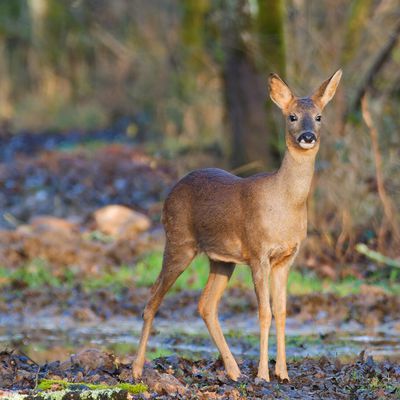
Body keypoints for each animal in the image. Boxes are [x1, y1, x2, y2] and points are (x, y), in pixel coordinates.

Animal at [133, 69, 342, 382]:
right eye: (292, 116)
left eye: (319, 116)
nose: (308, 137)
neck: (284, 203)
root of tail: (169, 194)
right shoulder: (258, 252)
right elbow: (264, 312)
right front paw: (263, 375)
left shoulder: (286, 258)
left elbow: (282, 311)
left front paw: (283, 373)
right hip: (179, 241)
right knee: (152, 299)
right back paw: (135, 369)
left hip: (221, 259)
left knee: (206, 305)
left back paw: (233, 370)